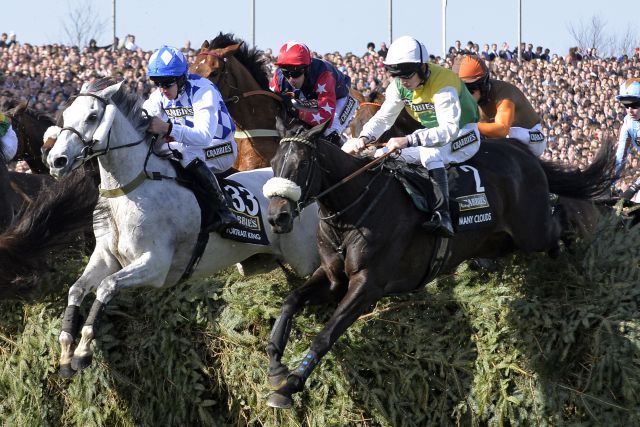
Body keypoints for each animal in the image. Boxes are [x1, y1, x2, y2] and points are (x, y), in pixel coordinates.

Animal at [45, 77, 320, 378]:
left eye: (92, 116)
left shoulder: (155, 265)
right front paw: (66, 352)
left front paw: (83, 351)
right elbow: (76, 289)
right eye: (66, 115)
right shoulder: (106, 256)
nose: (56, 161)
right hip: (261, 260)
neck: (132, 187)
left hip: (304, 257)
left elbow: (106, 286)